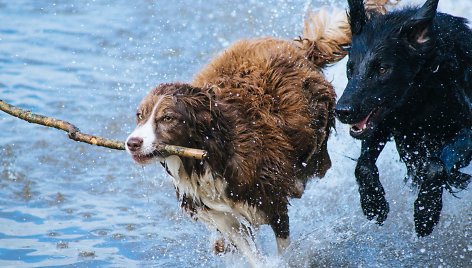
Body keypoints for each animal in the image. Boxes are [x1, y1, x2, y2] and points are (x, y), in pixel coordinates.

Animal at [338, 0, 470, 236]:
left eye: (382, 68)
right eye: (350, 67)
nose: (342, 110)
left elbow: (435, 166)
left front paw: (426, 211)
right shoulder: (383, 122)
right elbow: (363, 166)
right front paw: (374, 204)